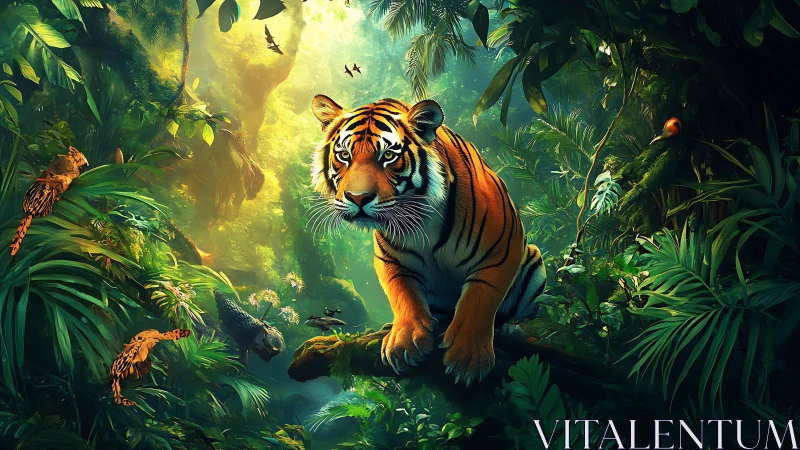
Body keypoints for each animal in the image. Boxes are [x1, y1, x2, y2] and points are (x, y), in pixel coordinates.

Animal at [310, 95, 546, 386]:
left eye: (388, 156)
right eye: (344, 156)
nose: (358, 198)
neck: (419, 220)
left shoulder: (502, 248)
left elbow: (479, 298)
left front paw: (468, 357)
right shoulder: (391, 259)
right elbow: (404, 295)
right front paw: (404, 341)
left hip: (533, 258)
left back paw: (512, 329)